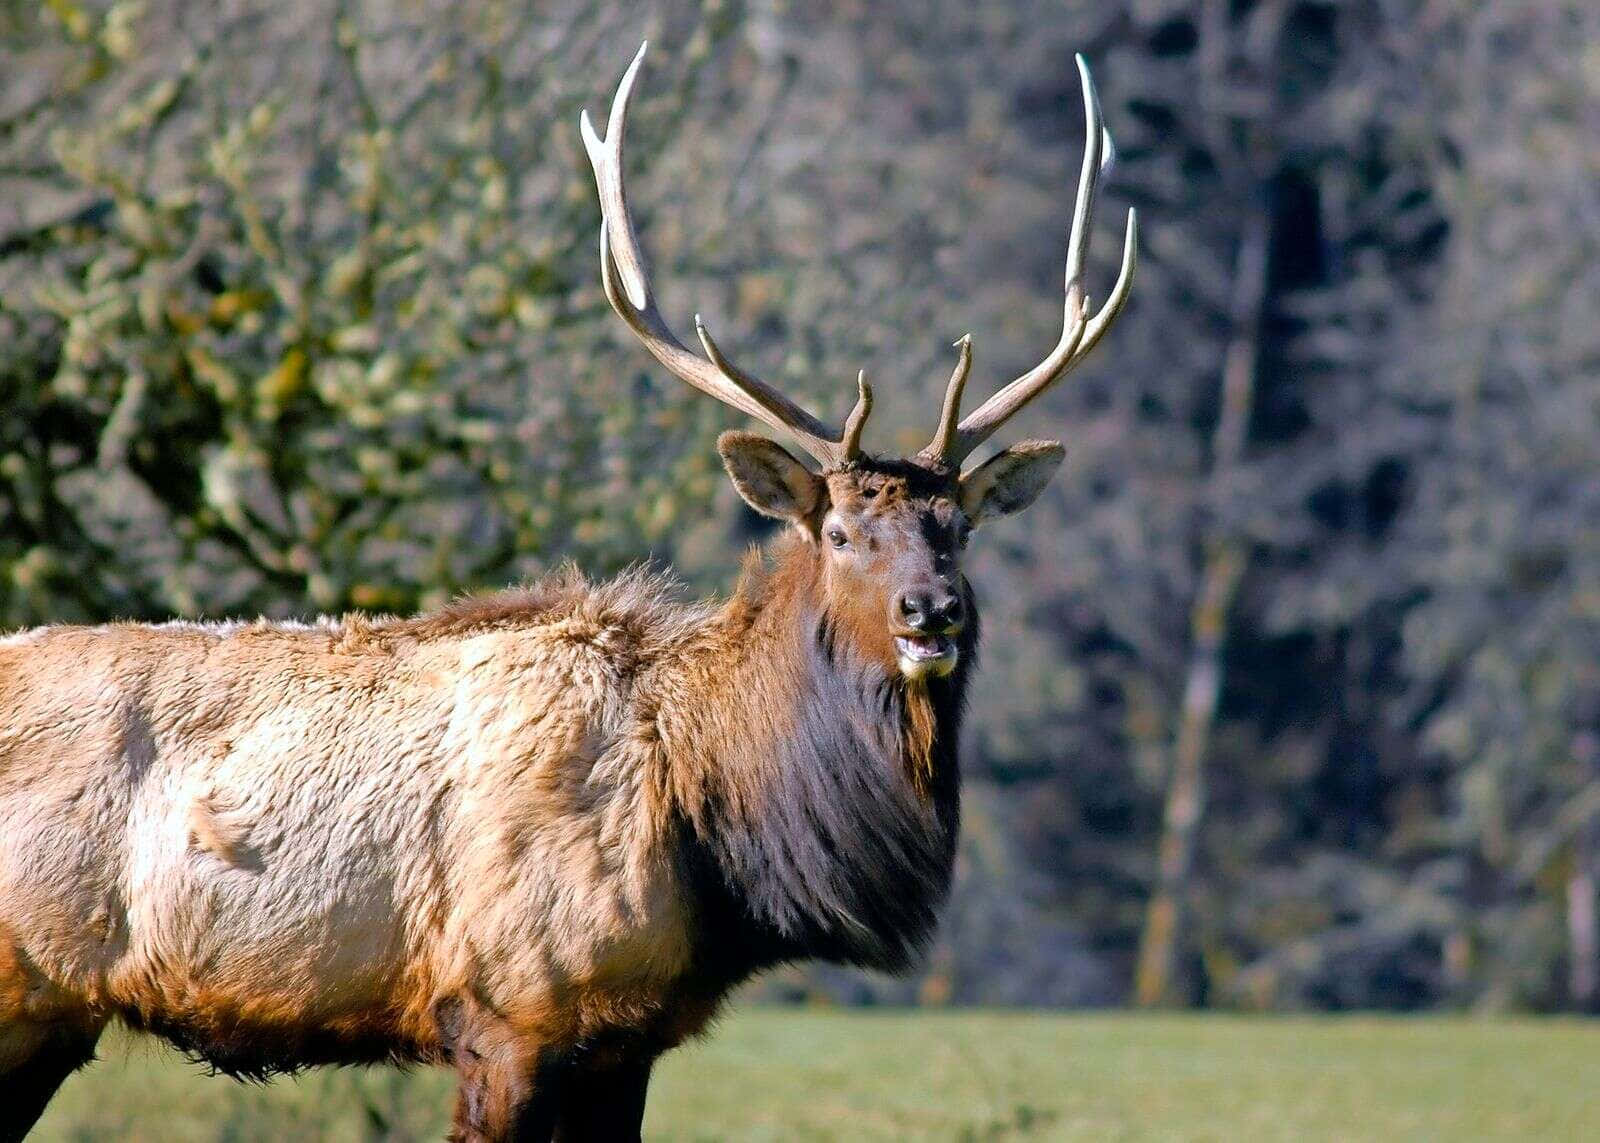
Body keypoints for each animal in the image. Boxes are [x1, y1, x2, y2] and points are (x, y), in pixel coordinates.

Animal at [0, 42, 1132, 1139]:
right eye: (842, 533)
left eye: (960, 530)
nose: (930, 612)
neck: (712, 839)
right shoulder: (509, 1009)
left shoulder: (625, 1043)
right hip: (25, 990)